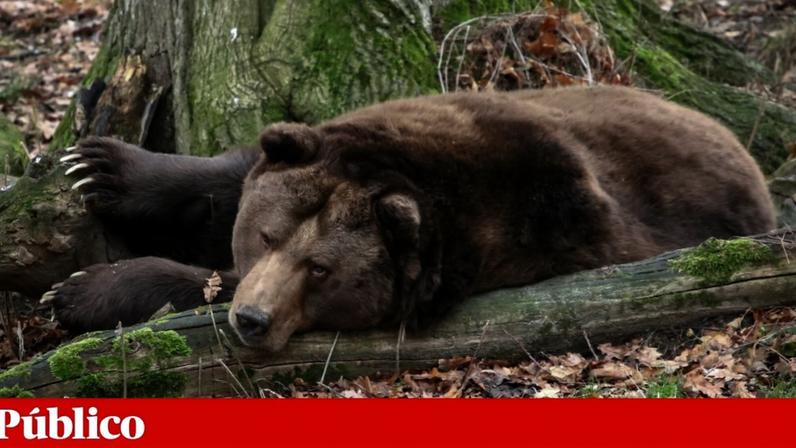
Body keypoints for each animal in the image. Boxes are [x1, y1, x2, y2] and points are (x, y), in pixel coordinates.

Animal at [44, 85, 776, 352]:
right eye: (266, 233)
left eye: (322, 269)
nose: (252, 320)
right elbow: (231, 172)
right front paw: (97, 165)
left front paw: (79, 291)